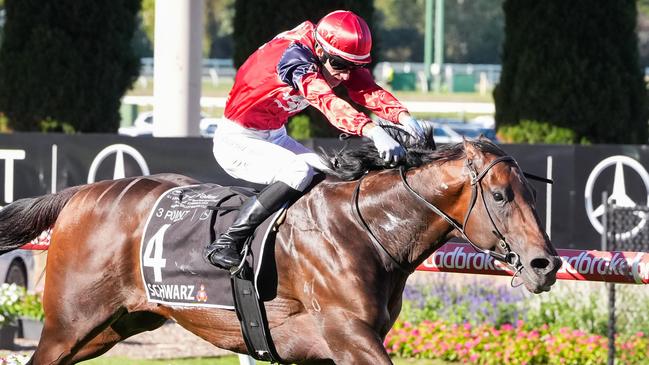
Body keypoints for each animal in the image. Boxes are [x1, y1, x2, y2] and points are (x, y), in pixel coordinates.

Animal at [0, 137, 560, 364]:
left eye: (533, 196)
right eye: (500, 196)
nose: (546, 265)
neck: (365, 230)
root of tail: (79, 194)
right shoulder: (349, 337)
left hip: (109, 327)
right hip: (68, 325)